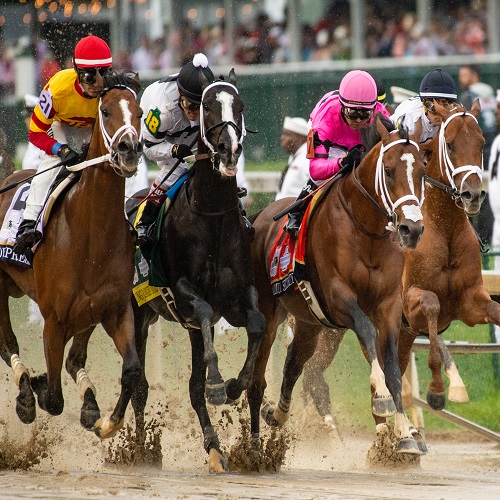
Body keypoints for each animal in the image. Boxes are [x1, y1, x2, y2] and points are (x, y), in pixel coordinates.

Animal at [0, 70, 143, 438]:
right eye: (105, 111)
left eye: (139, 112)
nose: (129, 150)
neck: (91, 237)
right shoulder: (54, 322)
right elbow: (52, 399)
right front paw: (35, 388)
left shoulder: (113, 310)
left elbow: (131, 371)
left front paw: (104, 420)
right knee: (8, 345)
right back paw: (25, 393)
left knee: (73, 359)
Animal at [128, 77, 266, 472]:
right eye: (207, 106)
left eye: (240, 104)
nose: (229, 150)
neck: (213, 216)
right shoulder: (186, 294)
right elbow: (203, 312)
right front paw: (219, 383)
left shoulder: (238, 298)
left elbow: (258, 324)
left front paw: (235, 385)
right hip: (135, 313)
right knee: (138, 384)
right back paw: (139, 448)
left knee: (186, 386)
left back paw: (212, 446)